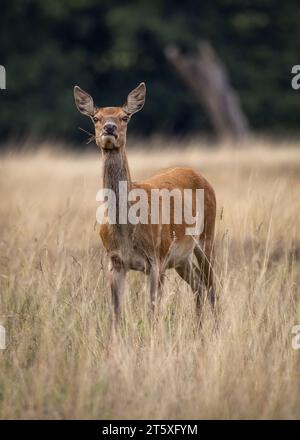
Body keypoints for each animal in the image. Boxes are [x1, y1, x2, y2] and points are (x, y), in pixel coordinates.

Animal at [74, 82, 217, 324]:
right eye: (96, 117)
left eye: (125, 117)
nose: (109, 128)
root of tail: (200, 176)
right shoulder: (115, 262)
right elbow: (116, 312)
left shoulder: (156, 259)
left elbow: (152, 312)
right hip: (181, 258)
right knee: (198, 285)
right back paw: (198, 328)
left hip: (206, 235)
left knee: (212, 285)